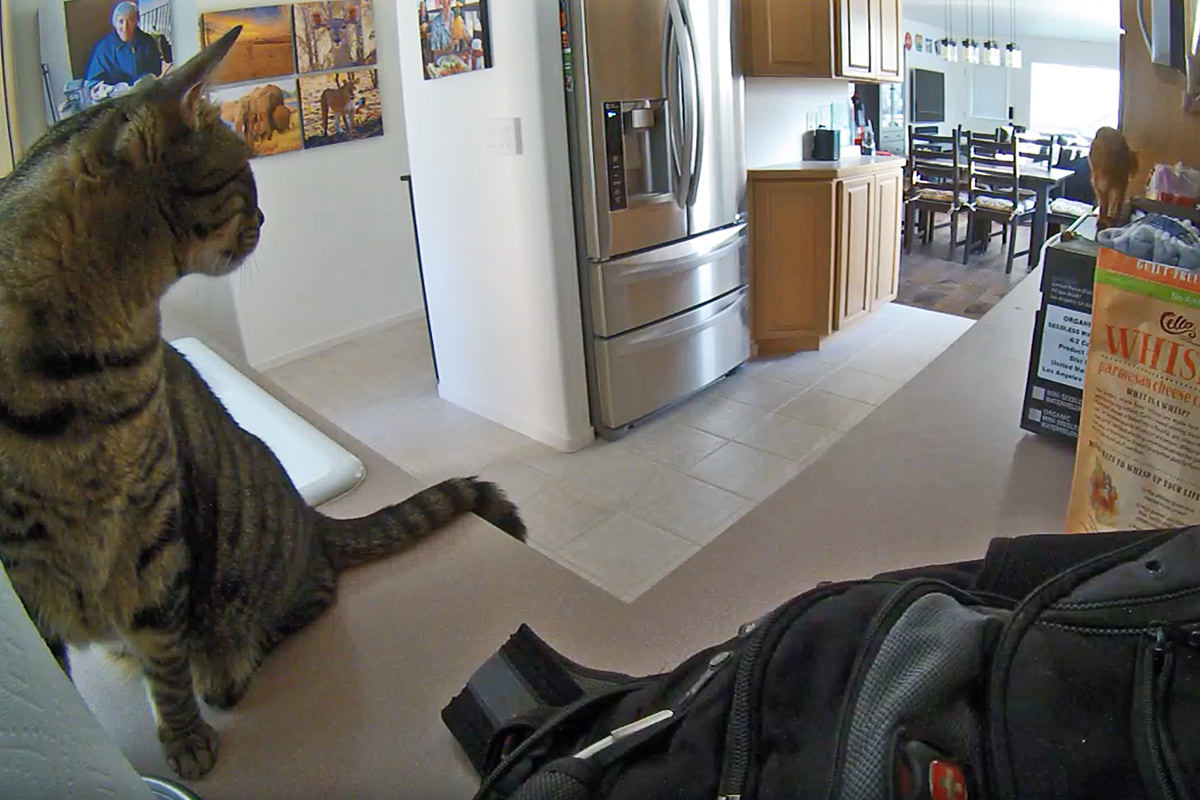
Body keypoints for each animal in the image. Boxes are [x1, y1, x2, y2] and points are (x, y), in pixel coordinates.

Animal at [0, 29, 525, 782]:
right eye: (244, 181)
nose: (266, 216)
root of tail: (312, 517)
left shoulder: (154, 533)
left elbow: (167, 661)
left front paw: (184, 738)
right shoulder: (21, 571)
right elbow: (63, 678)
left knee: (296, 603)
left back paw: (225, 667)